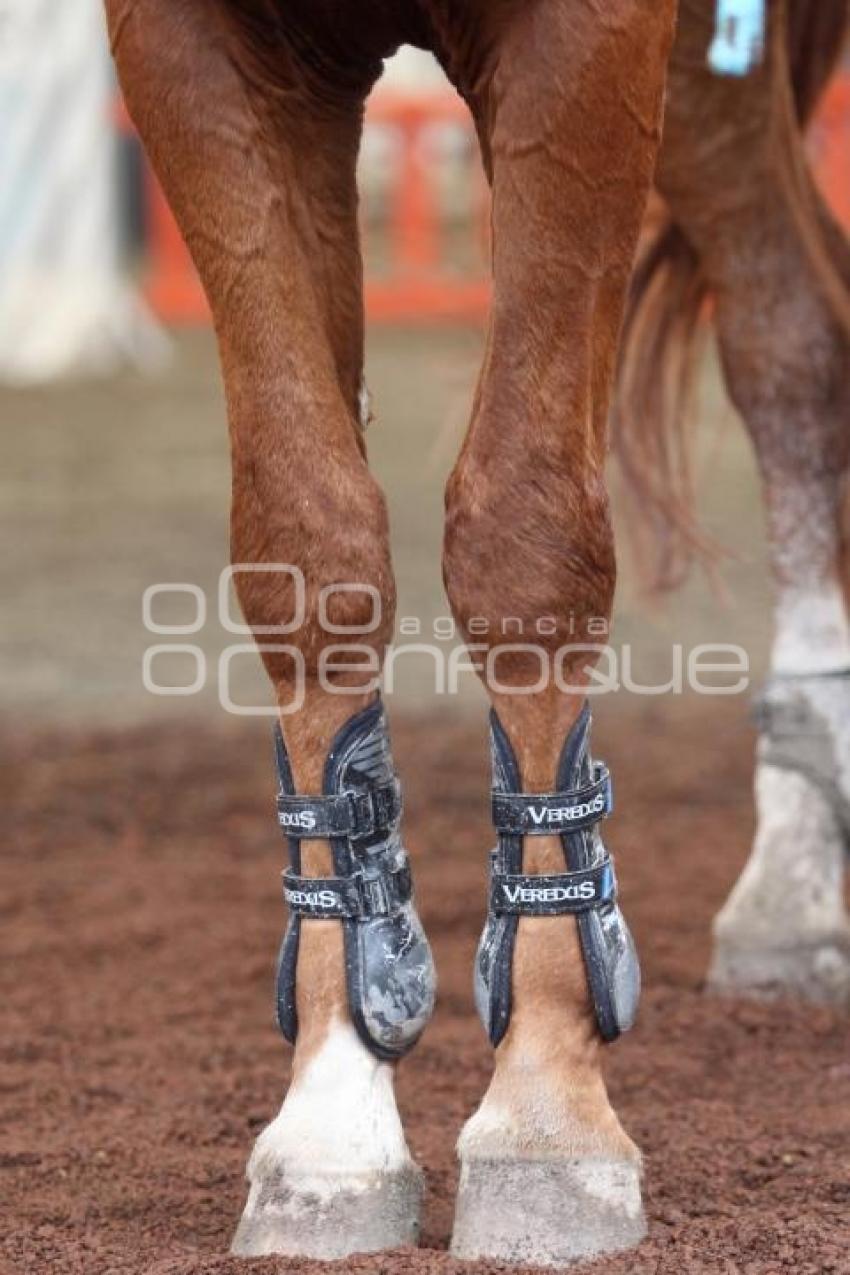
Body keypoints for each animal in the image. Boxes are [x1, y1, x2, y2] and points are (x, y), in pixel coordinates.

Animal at [103, 2, 846, 1264]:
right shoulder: (196, 51)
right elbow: (307, 532)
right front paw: (332, 1116)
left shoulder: (585, 45)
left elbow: (526, 531)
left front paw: (545, 1113)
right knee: (790, 342)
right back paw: (793, 880)